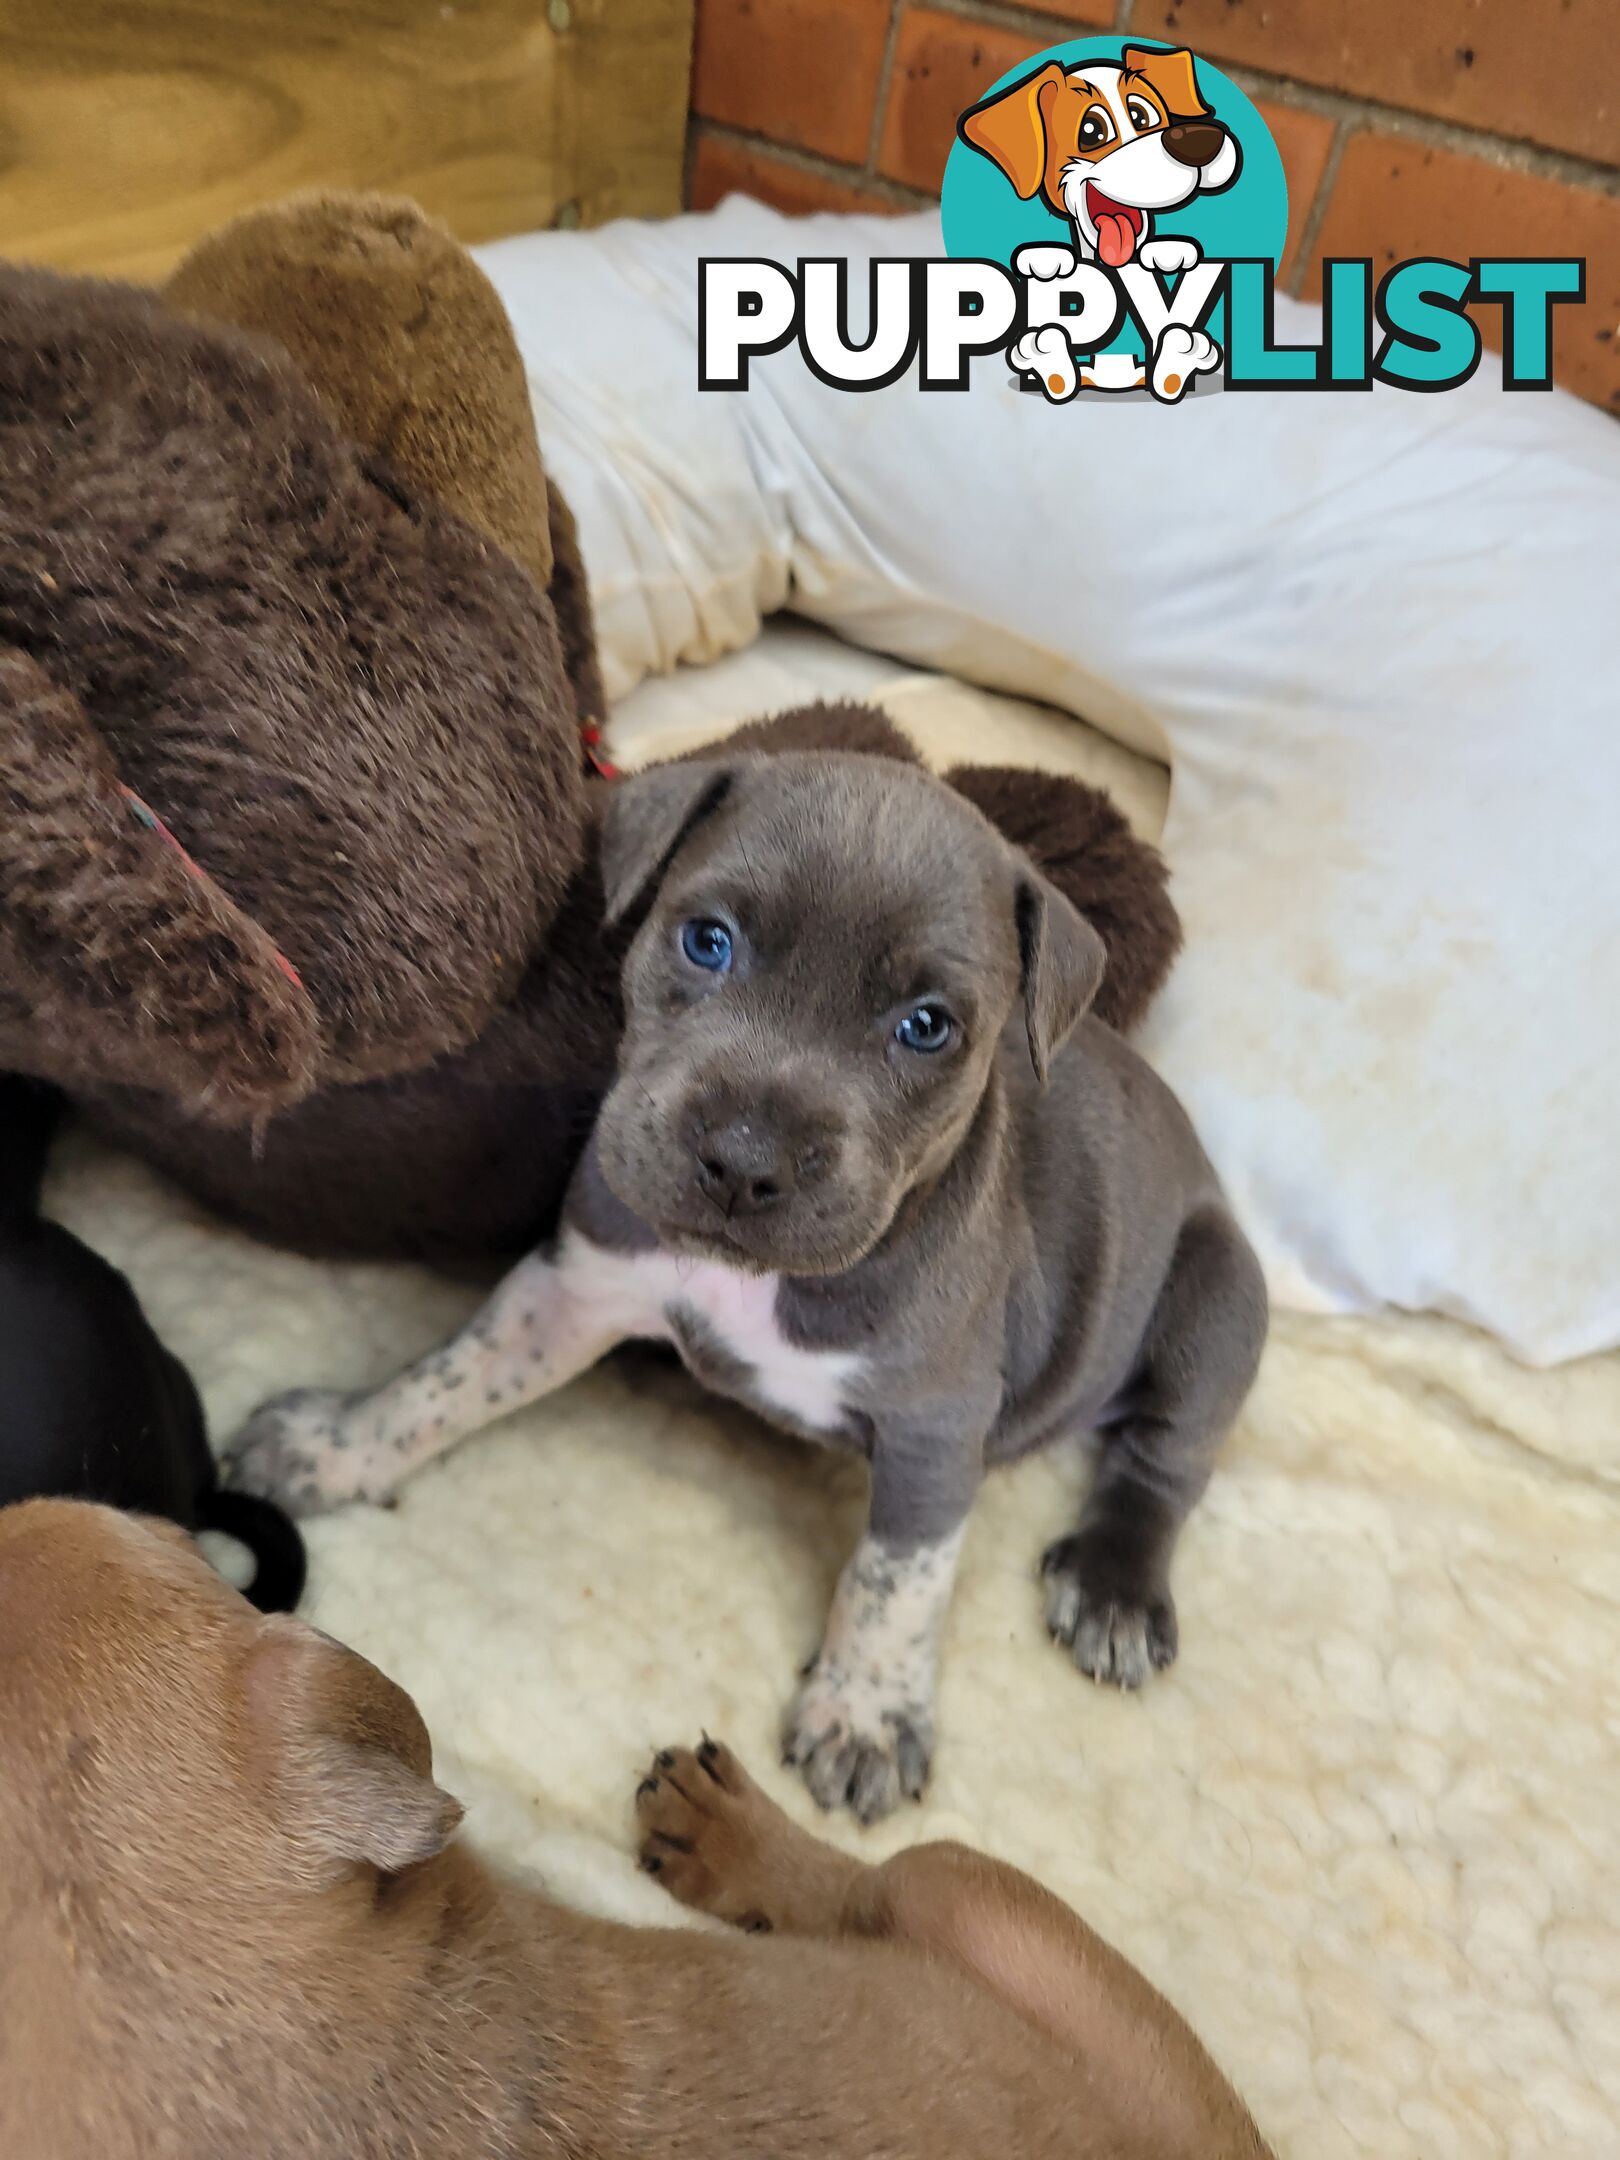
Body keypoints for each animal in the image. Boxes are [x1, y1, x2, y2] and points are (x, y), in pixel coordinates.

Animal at [228, 751, 1270, 1814]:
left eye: (927, 1027)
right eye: (707, 941)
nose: (744, 1161)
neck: (757, 1281)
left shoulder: (935, 1425)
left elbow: (898, 1575)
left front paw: (864, 1712)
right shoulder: (578, 1283)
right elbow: (443, 1378)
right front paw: (337, 1443)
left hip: (1220, 1302)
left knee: (1168, 1456)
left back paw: (1113, 1588)